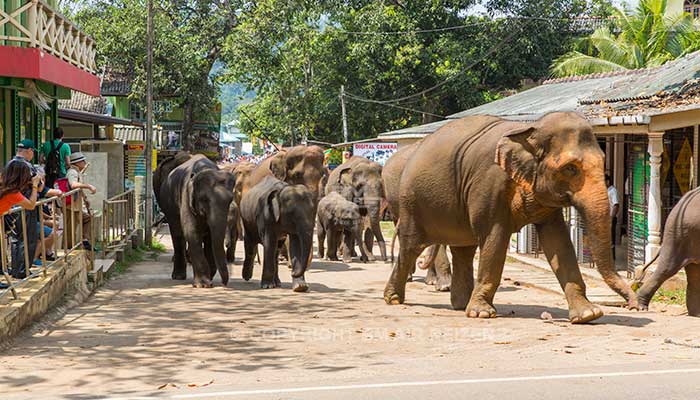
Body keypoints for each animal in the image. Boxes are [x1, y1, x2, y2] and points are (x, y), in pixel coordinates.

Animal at [158, 155, 235, 290]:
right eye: (204, 199)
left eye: (230, 200)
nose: (224, 283)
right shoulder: (185, 197)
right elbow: (192, 232)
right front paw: (203, 285)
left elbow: (210, 237)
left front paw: (210, 277)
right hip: (169, 206)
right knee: (178, 234)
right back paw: (178, 276)